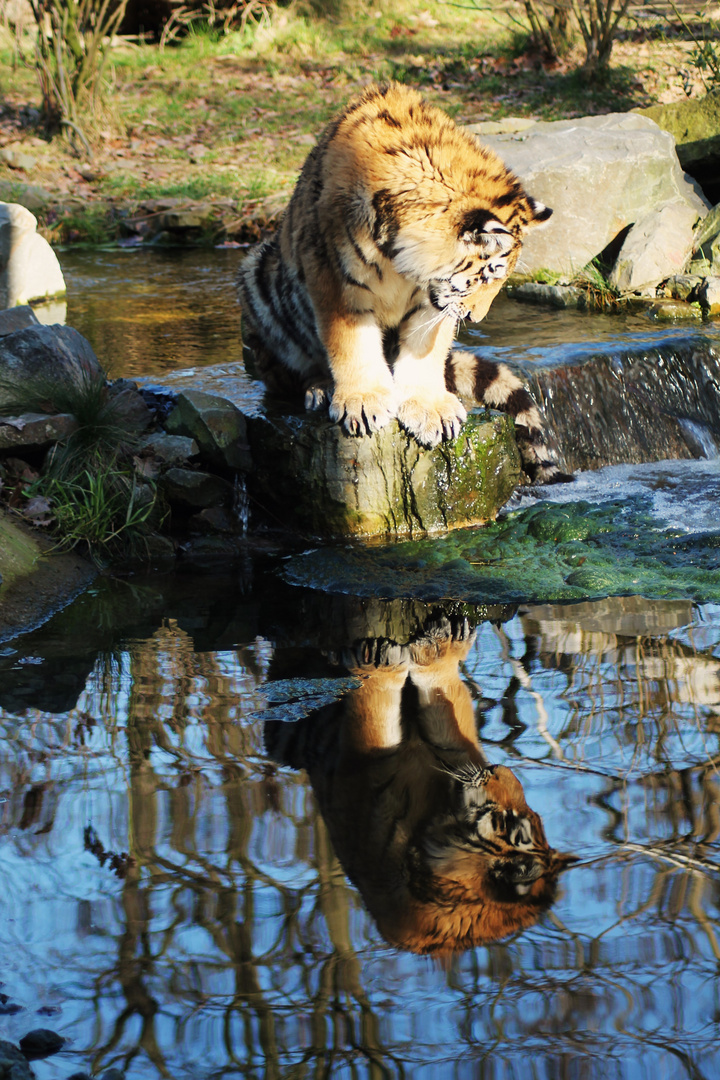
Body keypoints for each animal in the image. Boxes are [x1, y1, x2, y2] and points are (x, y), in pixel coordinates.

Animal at [239, 83, 569, 486]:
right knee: (284, 373)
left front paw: (431, 409)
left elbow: (426, 350)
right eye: (490, 271)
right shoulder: (331, 273)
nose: (475, 318)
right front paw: (363, 401)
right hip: (259, 271)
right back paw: (320, 388)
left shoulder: (433, 300)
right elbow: (350, 342)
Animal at [264, 617, 574, 954]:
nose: (498, 768)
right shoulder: (455, 752)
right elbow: (446, 698)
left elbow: (374, 708)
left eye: (506, 824)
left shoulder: (365, 767)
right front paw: (442, 646)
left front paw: (377, 663)